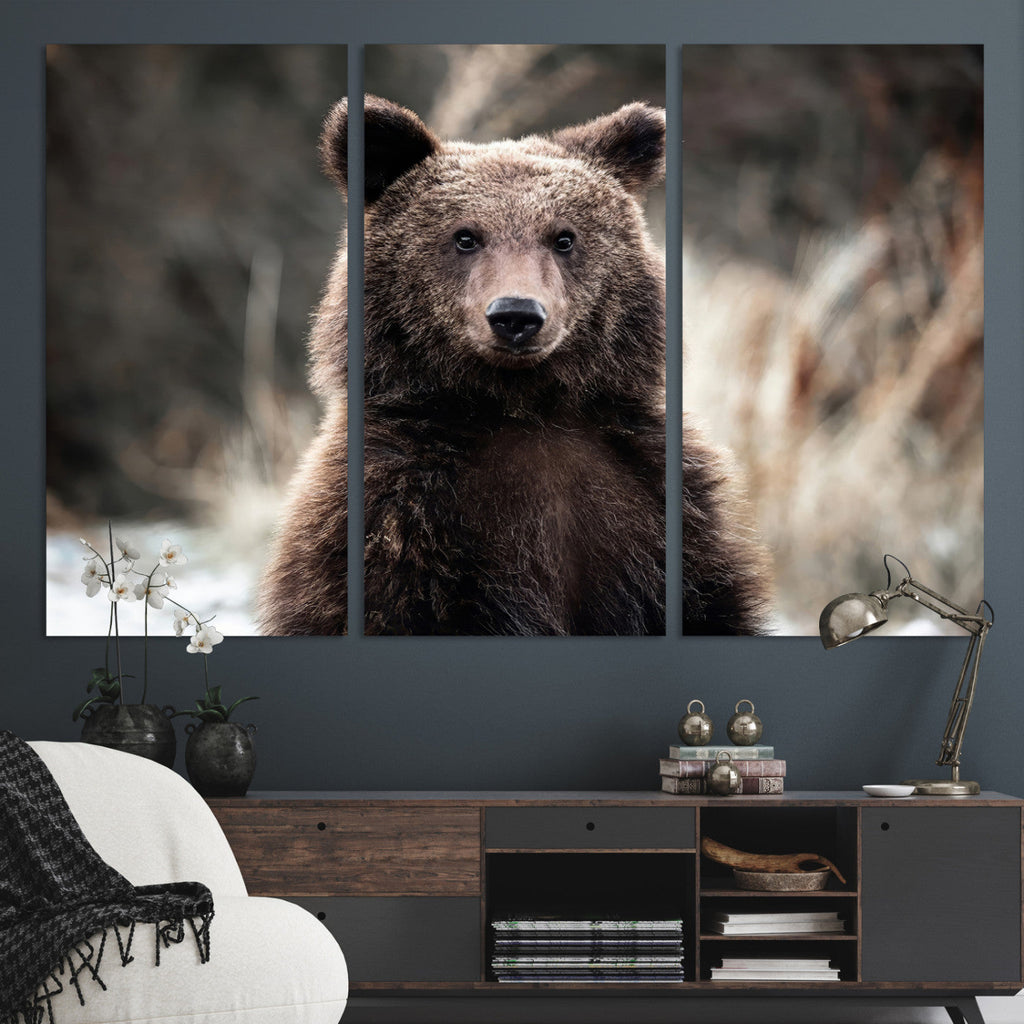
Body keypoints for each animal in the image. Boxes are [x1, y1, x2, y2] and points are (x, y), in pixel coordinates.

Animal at [258, 95, 769, 636]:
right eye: (465, 237)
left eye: (564, 238)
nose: (516, 315)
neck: (522, 406)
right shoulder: (396, 520)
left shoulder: (658, 509)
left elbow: (708, 603)